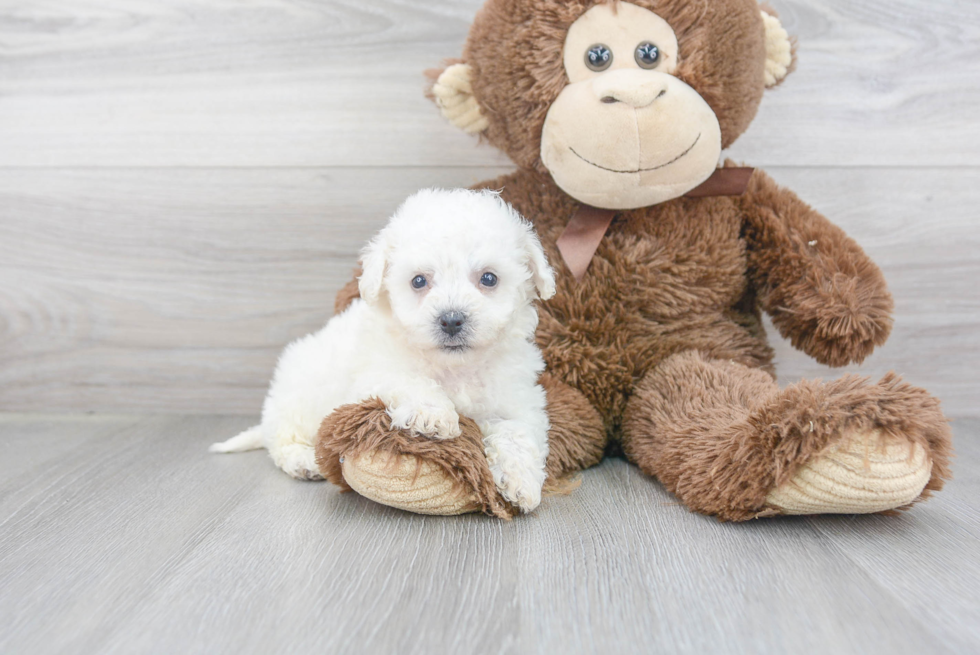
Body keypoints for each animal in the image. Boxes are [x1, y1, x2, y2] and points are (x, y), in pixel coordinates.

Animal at [210, 188, 556, 512]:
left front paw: (521, 481)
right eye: (419, 281)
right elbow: (408, 380)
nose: (451, 320)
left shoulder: (515, 398)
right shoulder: (372, 376)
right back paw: (302, 461)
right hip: (301, 395)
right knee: (282, 439)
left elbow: (517, 431)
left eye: (488, 278)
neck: (453, 366)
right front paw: (433, 414)